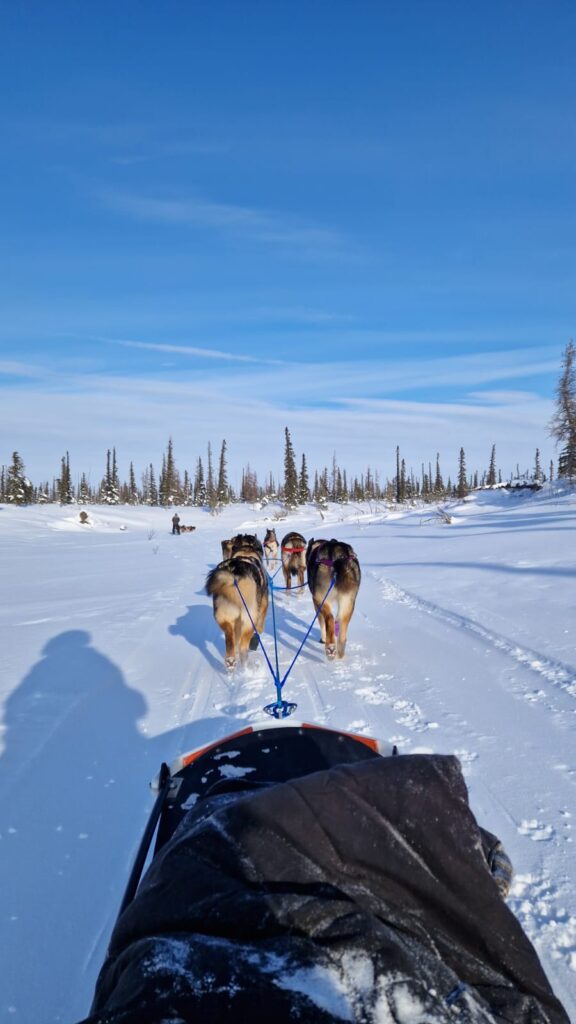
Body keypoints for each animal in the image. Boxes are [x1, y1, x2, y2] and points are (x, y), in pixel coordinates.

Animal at [206, 536, 266, 671]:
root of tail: (234, 575)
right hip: (249, 619)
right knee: (243, 646)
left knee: (230, 637)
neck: (246, 552)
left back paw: (231, 660)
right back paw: (245, 665)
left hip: (223, 617)